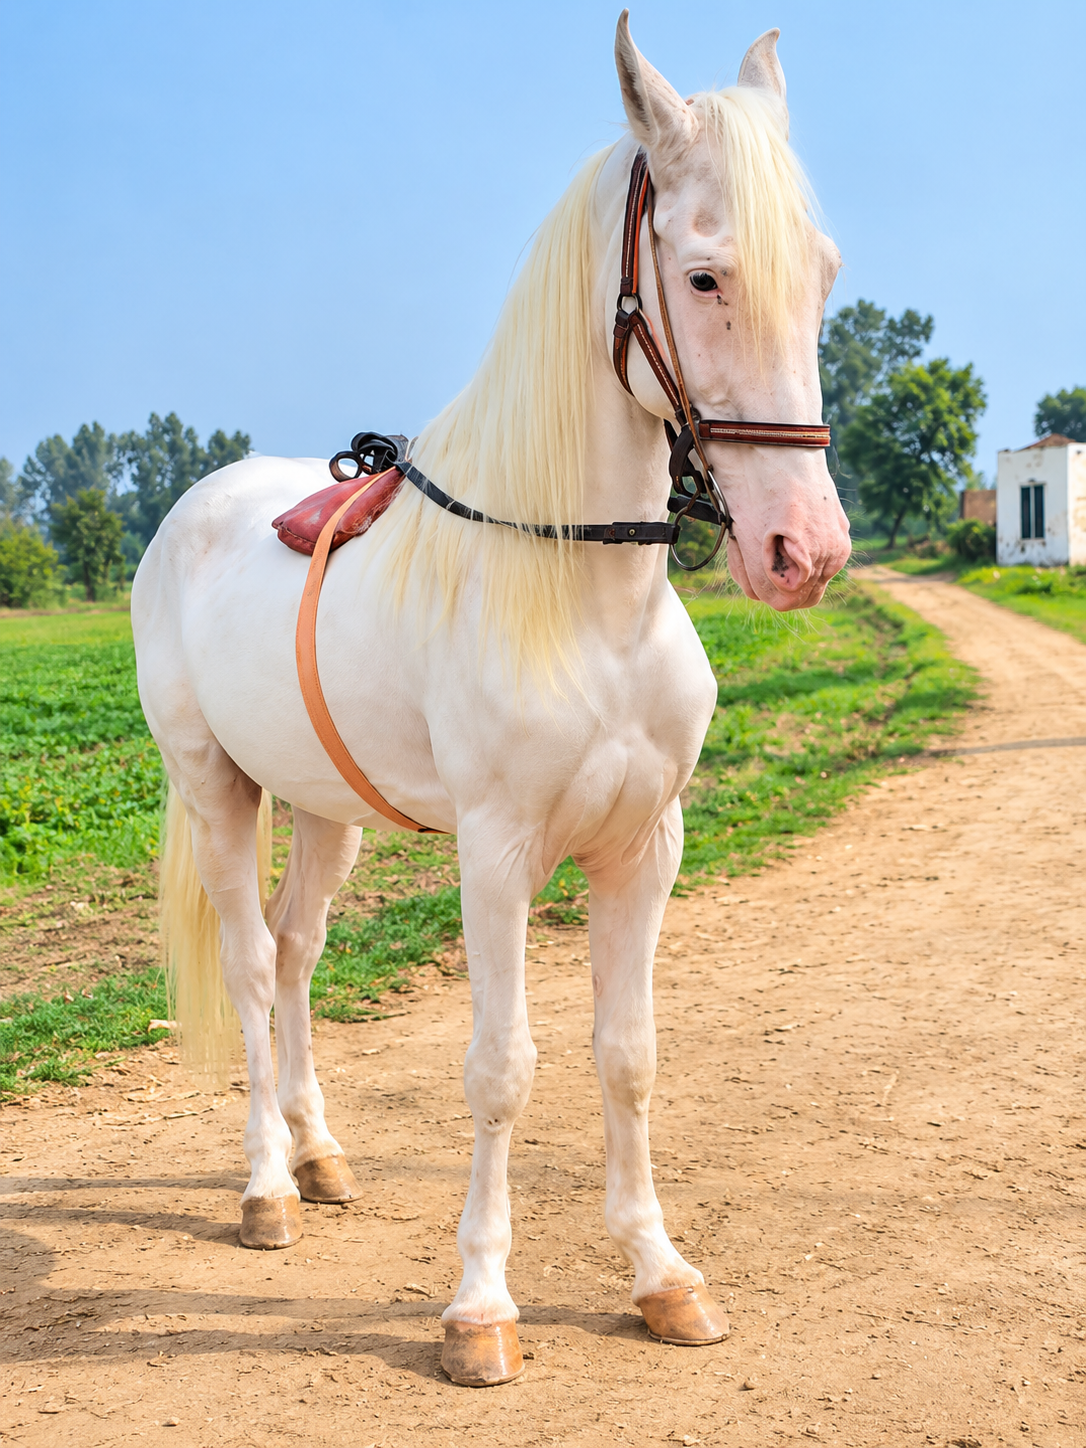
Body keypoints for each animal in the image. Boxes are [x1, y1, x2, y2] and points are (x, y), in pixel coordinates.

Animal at [131, 13, 850, 1387]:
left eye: (826, 275)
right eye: (704, 278)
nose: (804, 550)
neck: (582, 599)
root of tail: (191, 507)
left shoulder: (645, 849)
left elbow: (627, 1057)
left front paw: (662, 1276)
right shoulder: (498, 854)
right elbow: (502, 1069)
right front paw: (478, 1306)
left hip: (326, 810)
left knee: (296, 953)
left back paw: (321, 1151)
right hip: (217, 787)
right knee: (249, 968)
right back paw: (267, 1185)